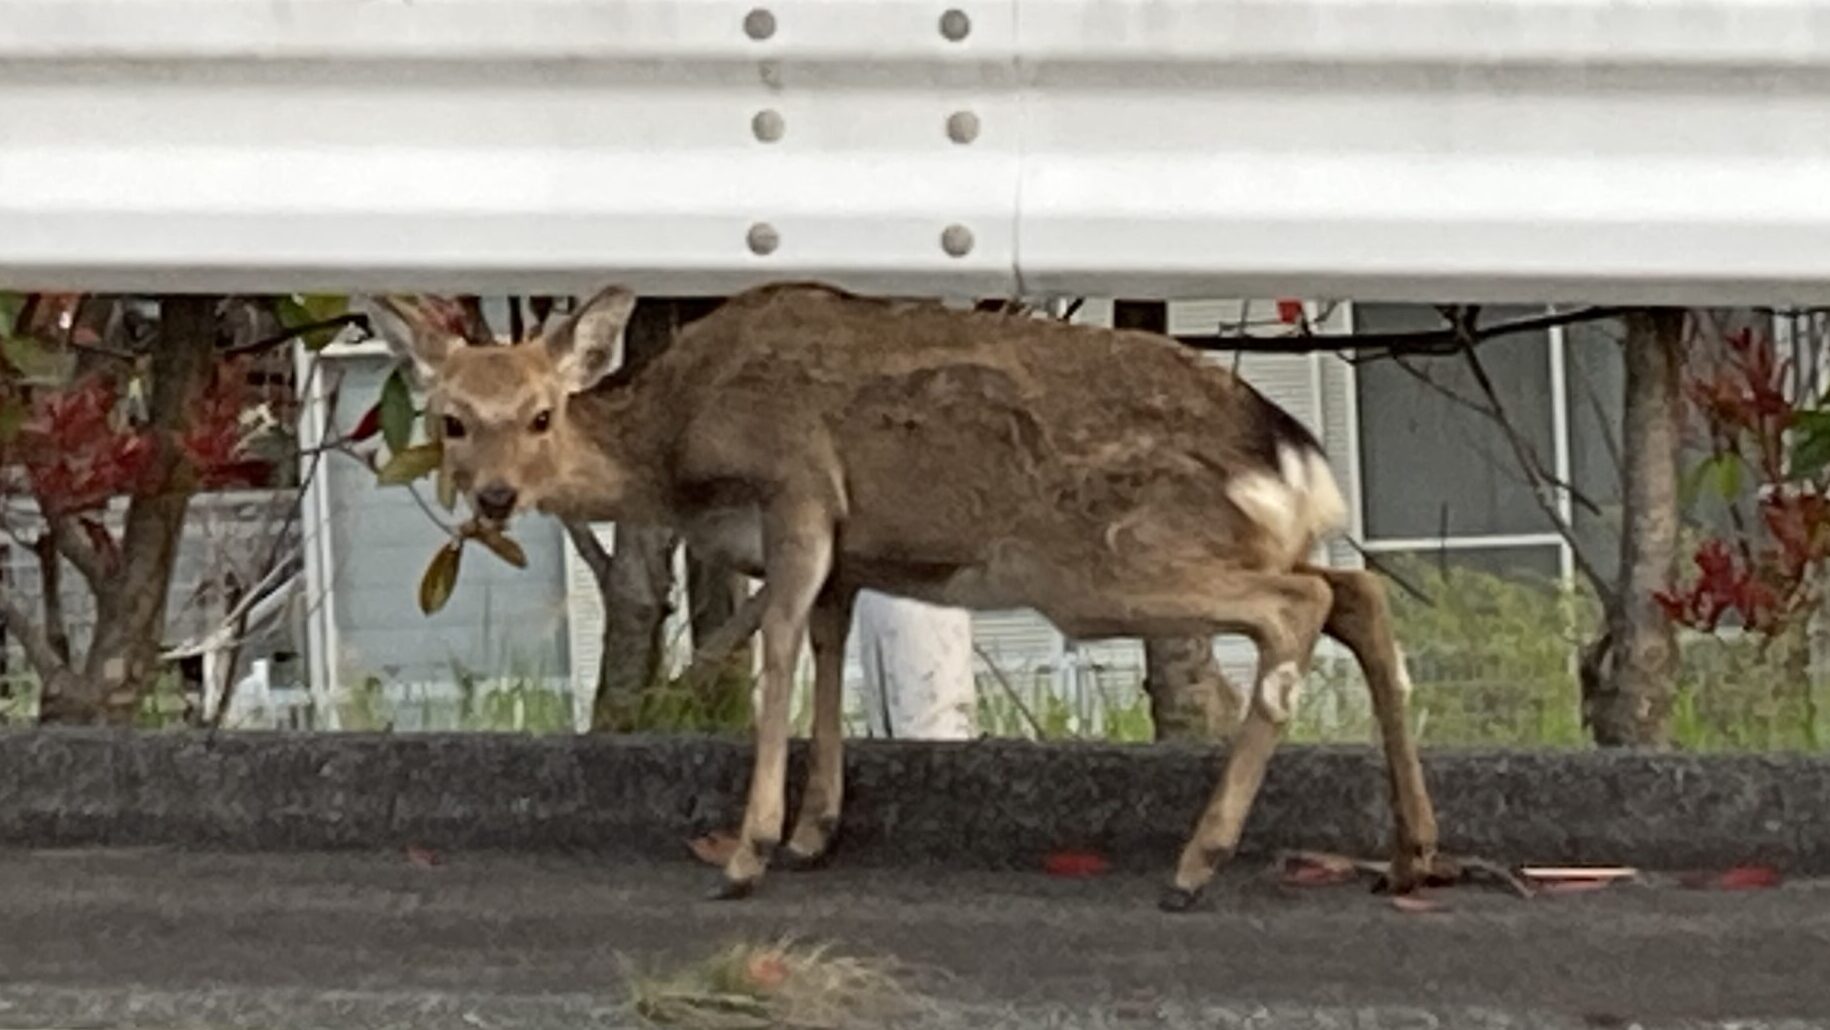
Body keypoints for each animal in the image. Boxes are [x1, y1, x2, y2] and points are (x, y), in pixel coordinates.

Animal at [367, 279, 1442, 911]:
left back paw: (1198, 862)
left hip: (1101, 559)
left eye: (541, 414)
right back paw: (1409, 853)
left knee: (1295, 607)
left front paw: (749, 851)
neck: (677, 451)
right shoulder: (851, 558)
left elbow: (778, 656)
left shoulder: (799, 488)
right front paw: (814, 833)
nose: (495, 496)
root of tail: (1291, 452)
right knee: (1354, 590)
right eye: (452, 419)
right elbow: (828, 655)